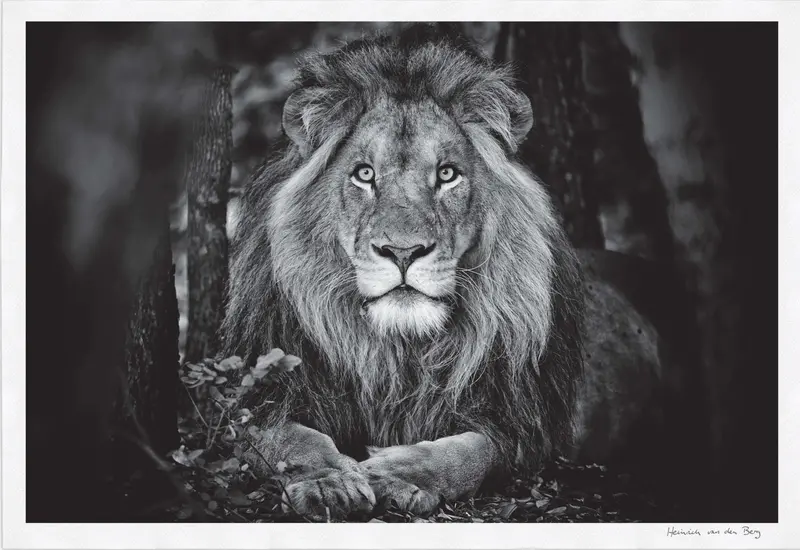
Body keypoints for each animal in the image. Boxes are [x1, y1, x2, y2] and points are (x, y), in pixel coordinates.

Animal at [221, 25, 672, 520]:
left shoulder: (517, 428)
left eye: (447, 174)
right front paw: (328, 482)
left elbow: (470, 453)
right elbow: (291, 440)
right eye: (364, 174)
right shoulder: (264, 400)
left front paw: (397, 474)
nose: (402, 251)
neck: (399, 354)